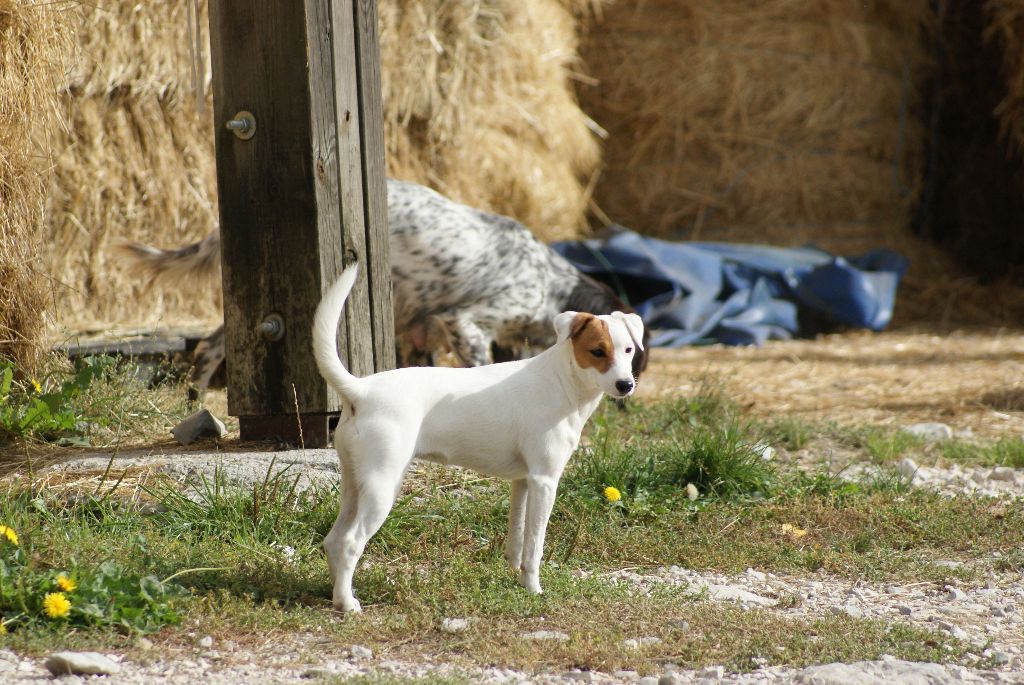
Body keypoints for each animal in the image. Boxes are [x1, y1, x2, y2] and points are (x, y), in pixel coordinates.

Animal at [313, 264, 647, 610]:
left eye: (628, 350)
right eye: (597, 351)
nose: (625, 385)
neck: (562, 380)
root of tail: (361, 390)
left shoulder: (523, 481)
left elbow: (517, 536)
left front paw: (516, 574)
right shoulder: (544, 481)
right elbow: (535, 544)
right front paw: (534, 589)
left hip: (355, 484)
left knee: (334, 540)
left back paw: (336, 593)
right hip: (382, 488)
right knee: (350, 542)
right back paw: (348, 604)